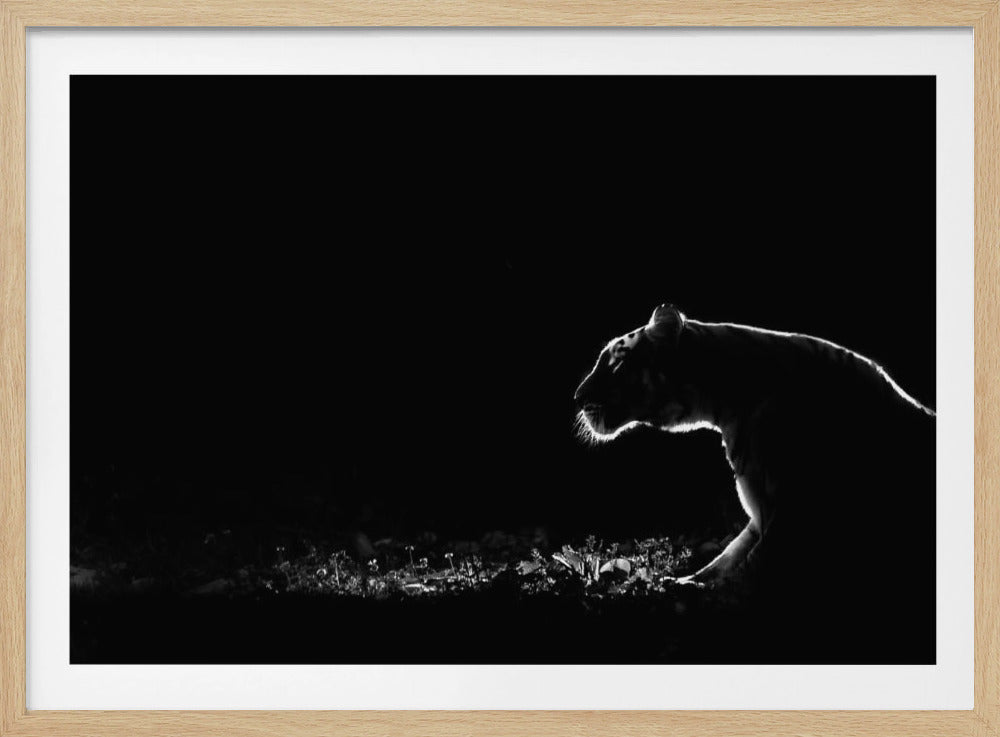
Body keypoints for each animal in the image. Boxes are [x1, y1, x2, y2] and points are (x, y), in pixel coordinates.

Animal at [575, 304, 935, 657]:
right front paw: (686, 582)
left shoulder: (791, 509)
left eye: (616, 365)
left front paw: (699, 599)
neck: (725, 405)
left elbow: (750, 566)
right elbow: (730, 555)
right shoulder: (762, 512)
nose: (577, 398)